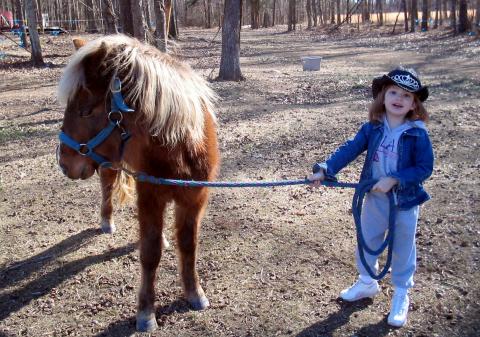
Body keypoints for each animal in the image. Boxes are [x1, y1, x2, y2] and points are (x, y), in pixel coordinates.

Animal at [57, 34, 219, 330]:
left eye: (84, 111)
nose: (64, 163)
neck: (179, 148)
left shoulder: (194, 200)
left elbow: (188, 244)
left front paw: (195, 294)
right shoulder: (150, 197)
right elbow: (150, 253)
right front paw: (146, 312)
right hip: (109, 165)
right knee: (107, 188)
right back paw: (107, 221)